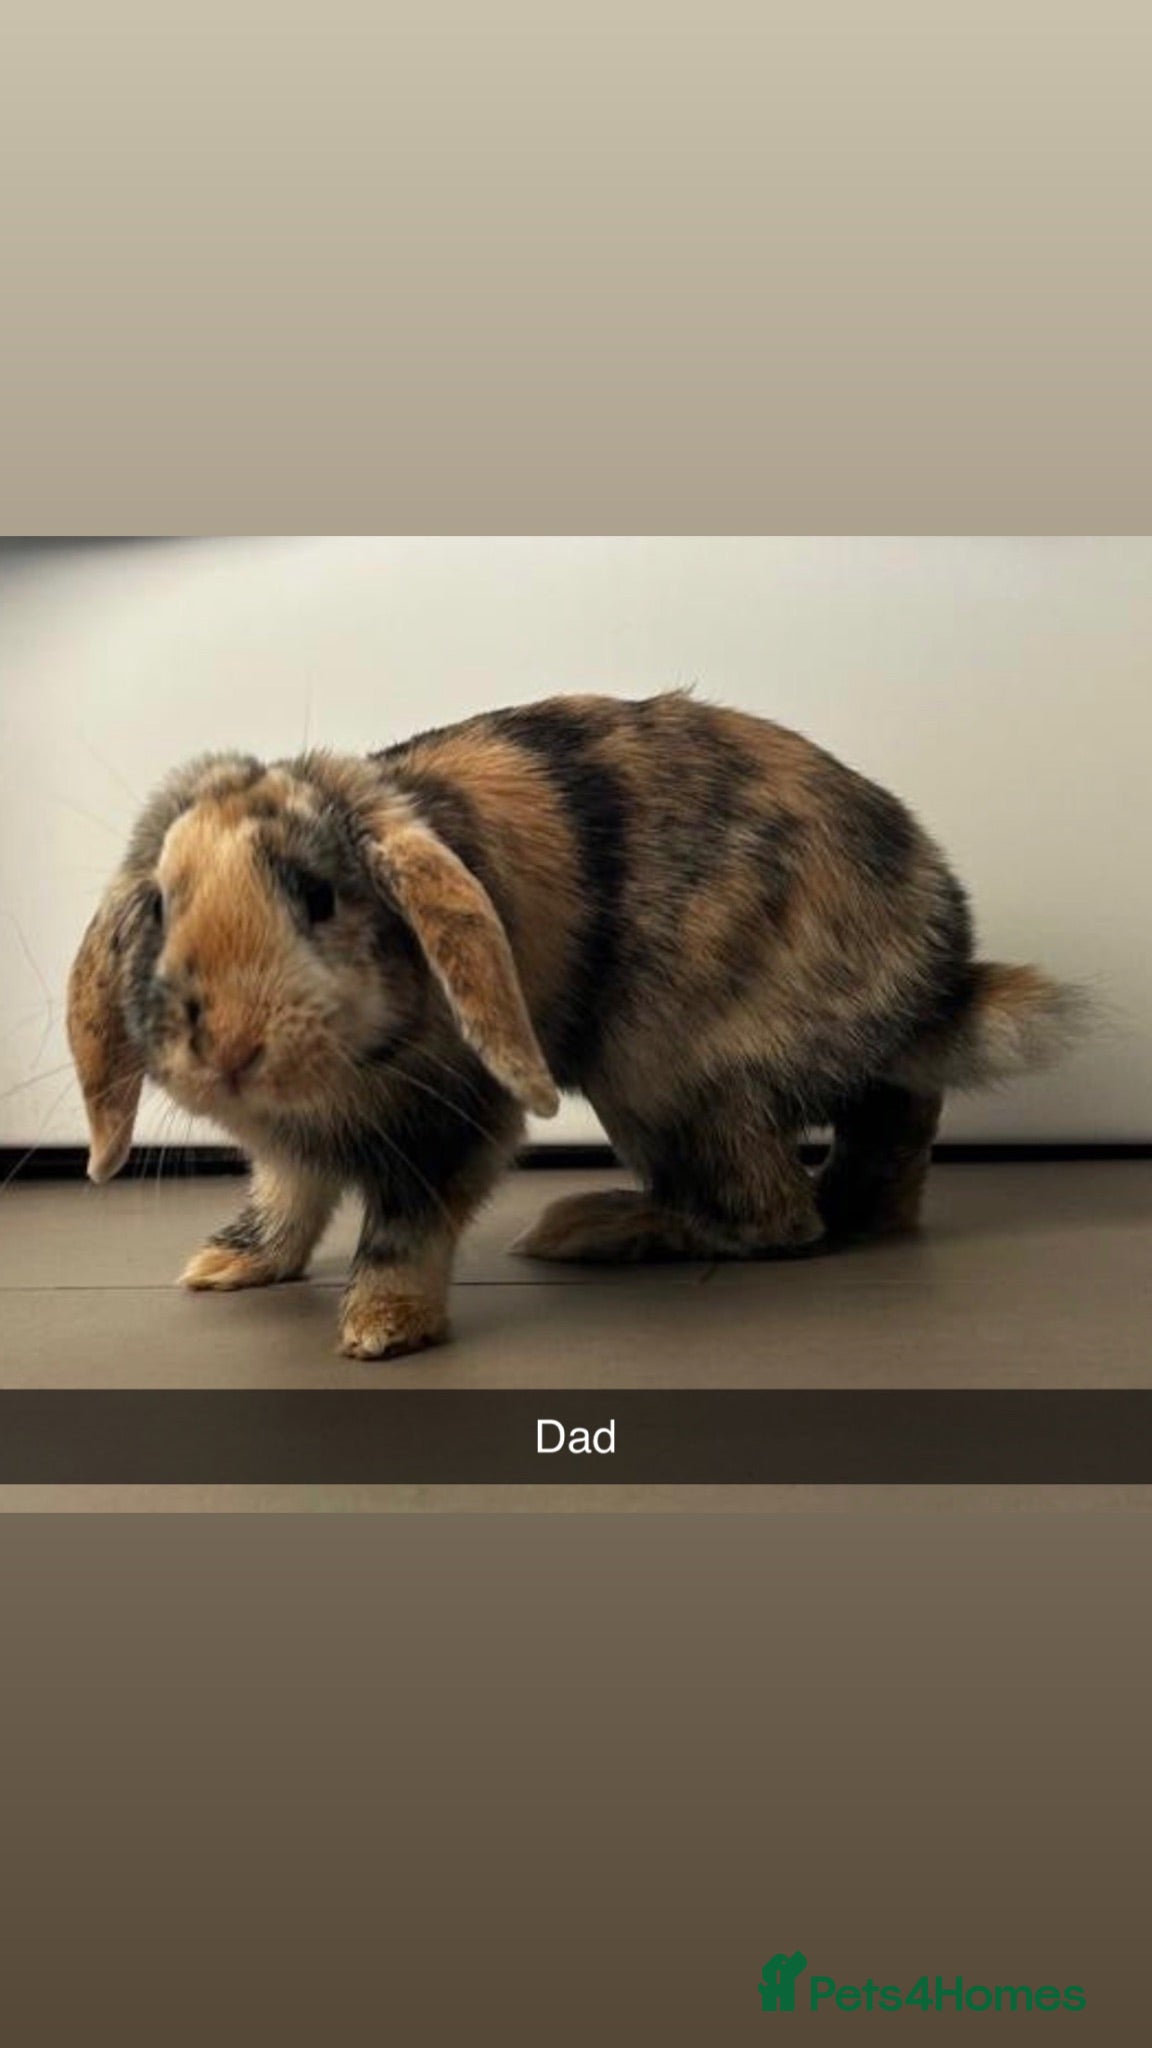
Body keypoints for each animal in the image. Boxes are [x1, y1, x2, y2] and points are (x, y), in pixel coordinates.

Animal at [66, 692, 1084, 1359]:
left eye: (320, 899)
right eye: (158, 904)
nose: (229, 1046)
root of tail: (933, 978)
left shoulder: (457, 1124)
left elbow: (404, 1228)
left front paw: (380, 1331)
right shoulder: (286, 1153)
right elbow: (284, 1205)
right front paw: (224, 1266)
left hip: (665, 1082)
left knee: (774, 1216)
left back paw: (592, 1226)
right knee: (885, 1136)